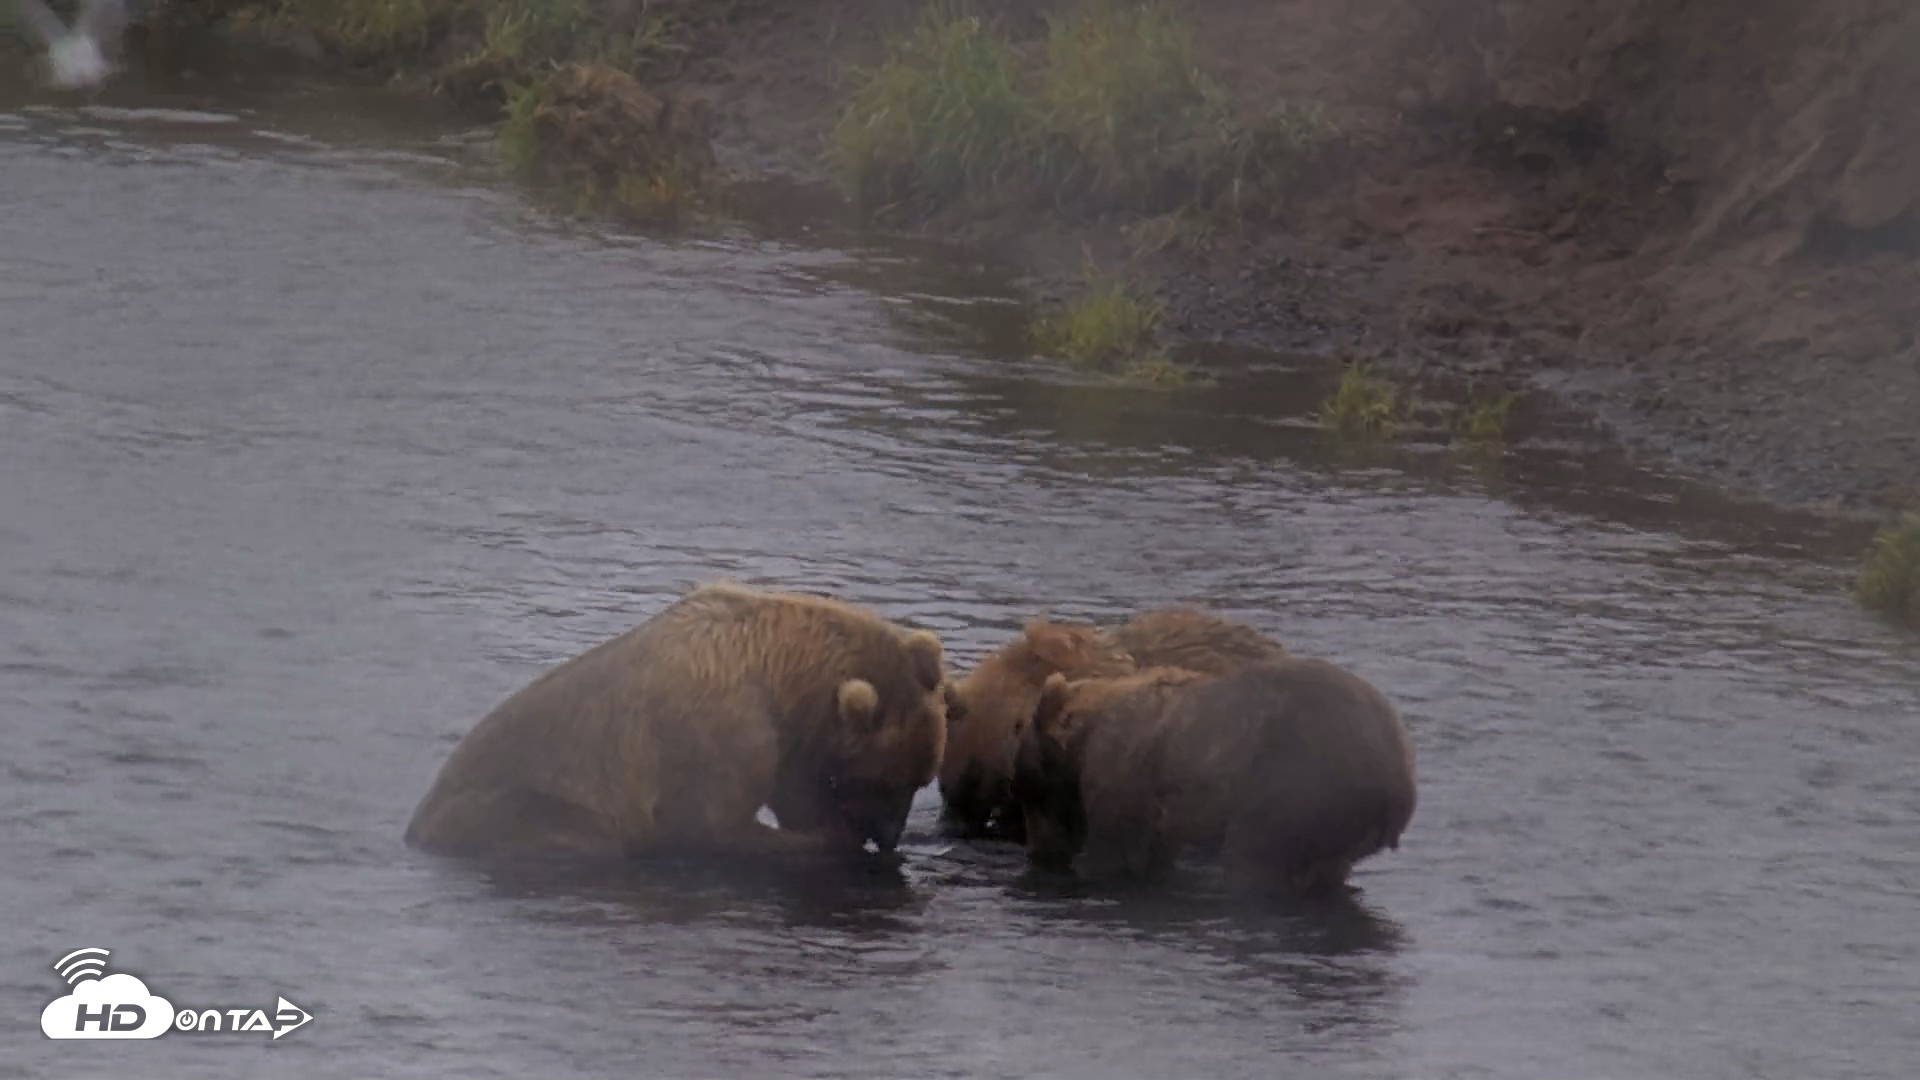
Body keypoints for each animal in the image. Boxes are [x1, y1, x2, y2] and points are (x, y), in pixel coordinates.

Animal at [403, 582, 948, 861]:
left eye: (920, 780)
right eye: (886, 781)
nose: (891, 835)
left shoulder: (788, 742)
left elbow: (794, 792)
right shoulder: (725, 734)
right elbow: (713, 822)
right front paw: (828, 838)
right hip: (521, 806)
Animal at [1009, 657, 1415, 897]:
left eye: (1029, 792)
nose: (1038, 853)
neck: (1083, 738)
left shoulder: (1121, 774)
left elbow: (1113, 849)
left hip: (1296, 787)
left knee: (1254, 855)